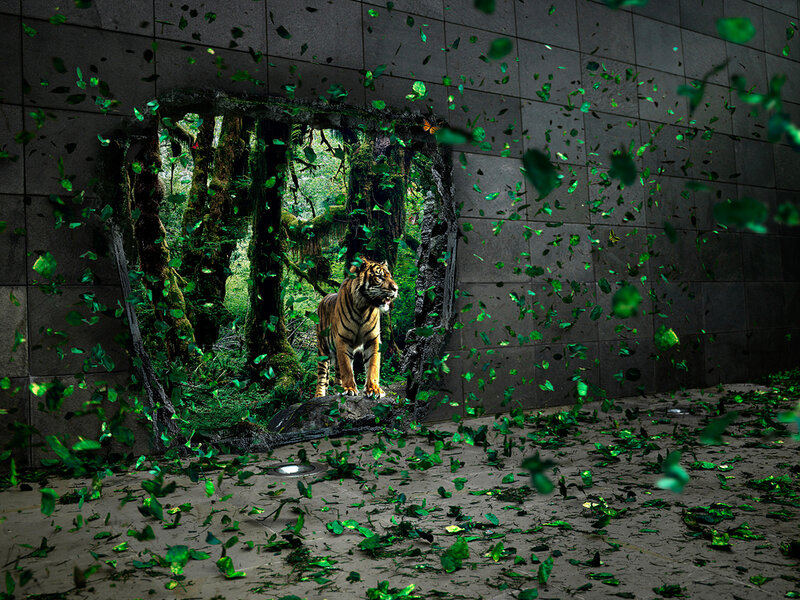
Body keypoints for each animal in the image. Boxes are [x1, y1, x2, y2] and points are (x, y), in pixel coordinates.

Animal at [314, 257, 399, 398]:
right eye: (380, 277)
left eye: (390, 276)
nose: (396, 289)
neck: (363, 307)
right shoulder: (343, 339)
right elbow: (347, 367)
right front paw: (349, 389)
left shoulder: (372, 339)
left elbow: (373, 364)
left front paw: (374, 389)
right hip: (323, 349)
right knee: (322, 377)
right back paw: (320, 396)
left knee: (337, 373)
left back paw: (338, 389)